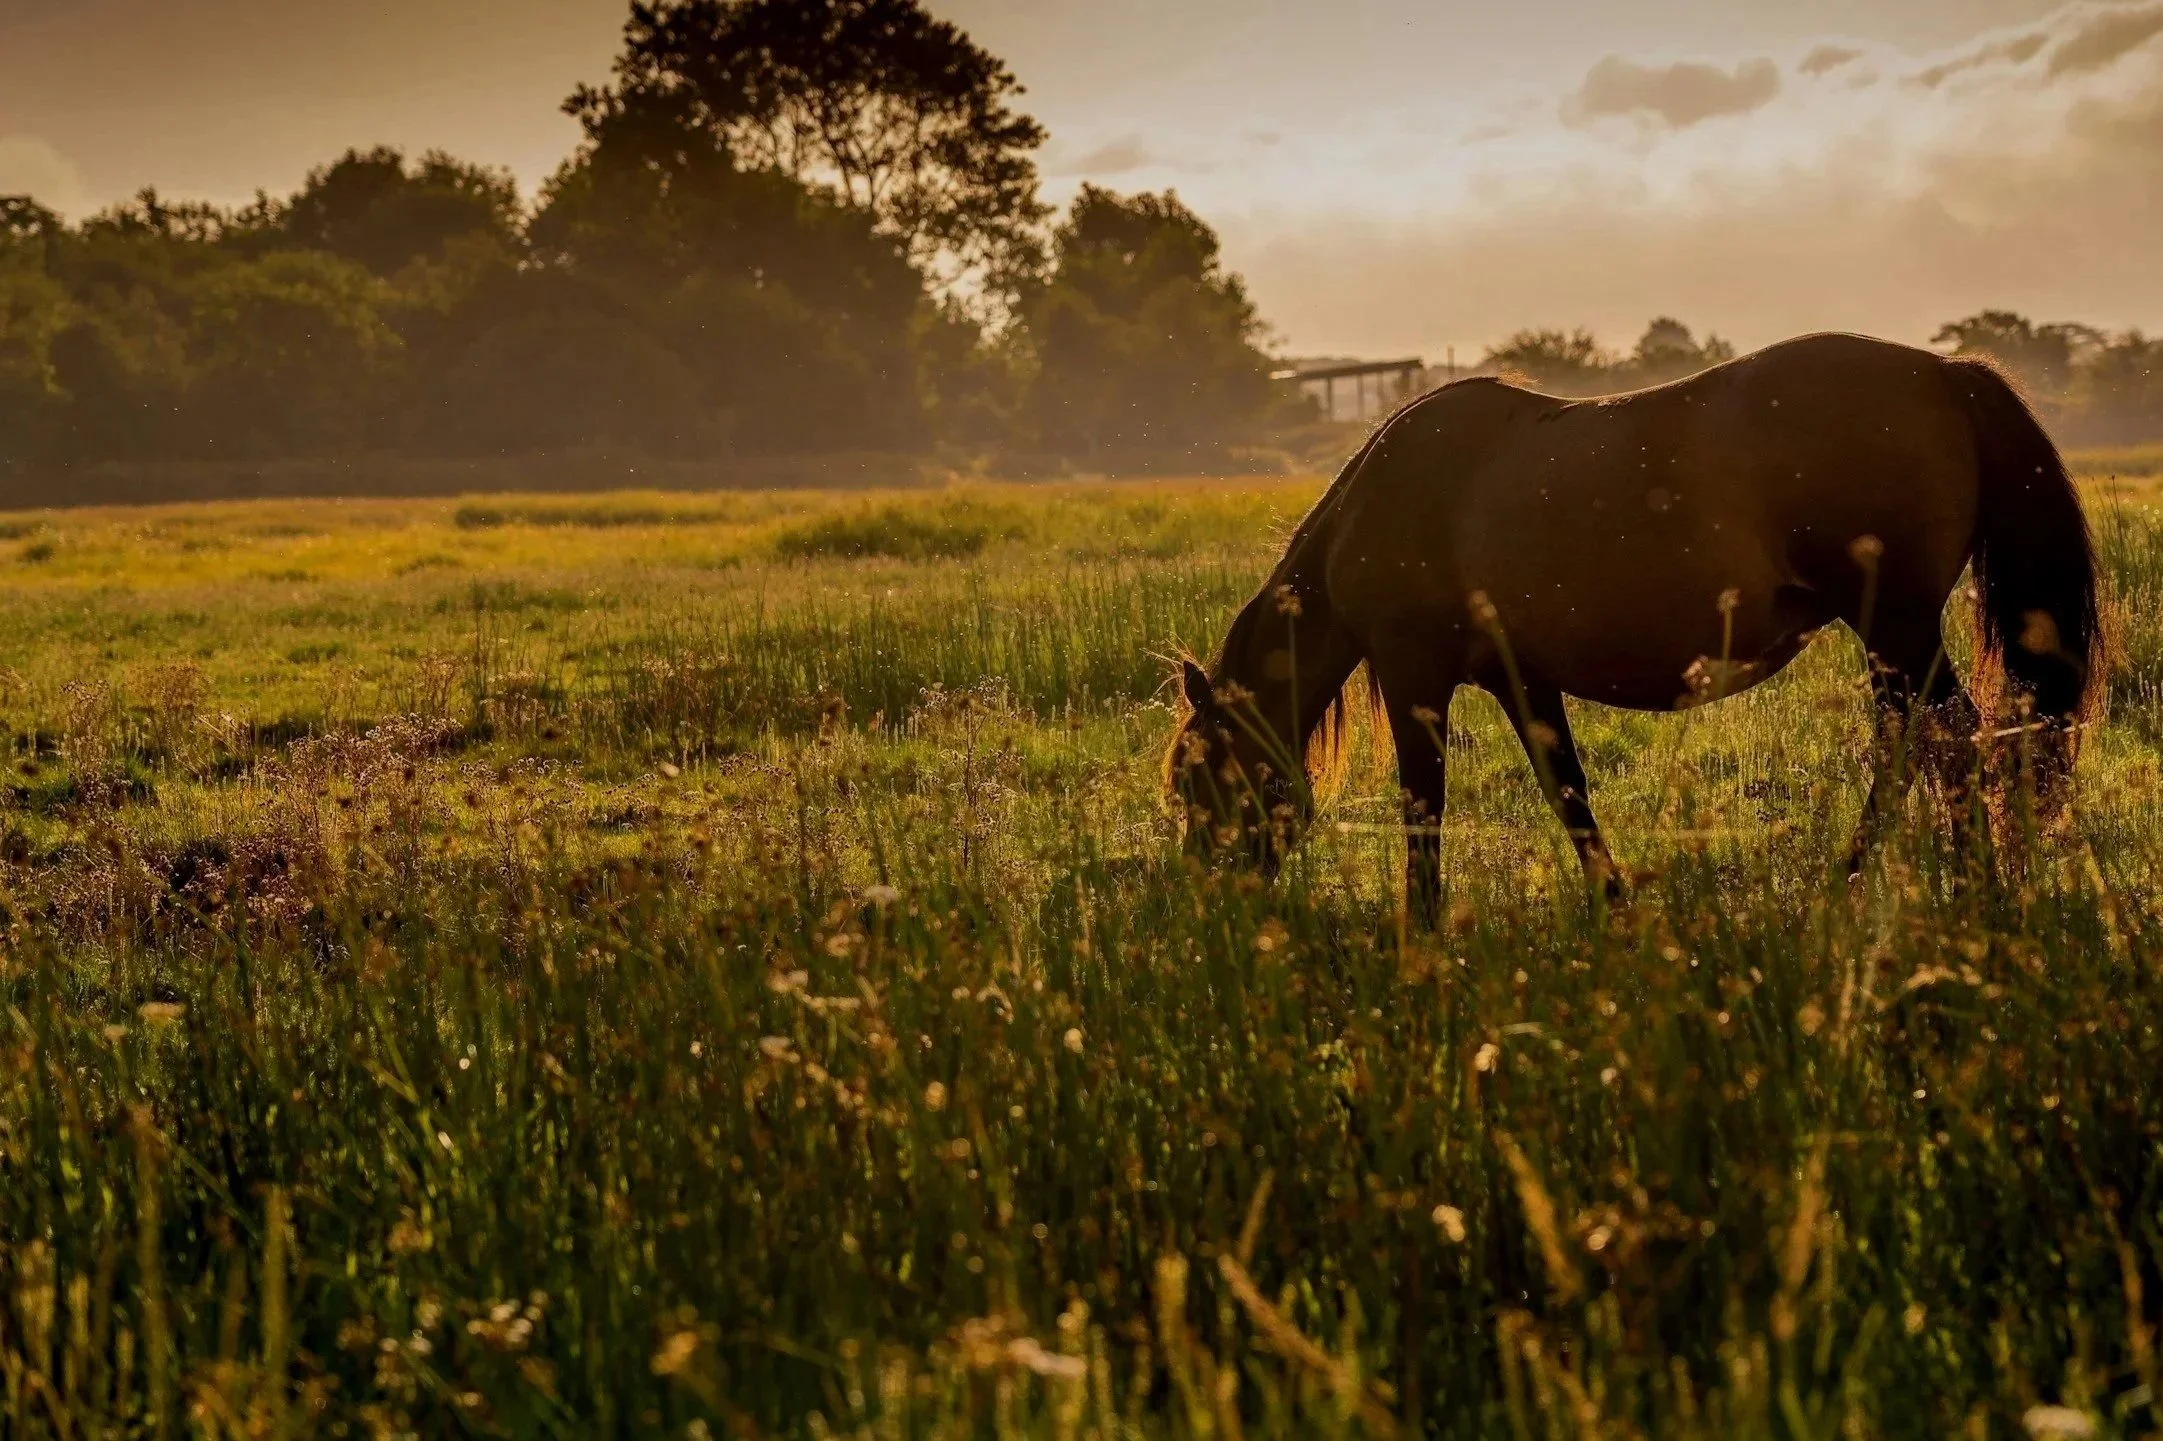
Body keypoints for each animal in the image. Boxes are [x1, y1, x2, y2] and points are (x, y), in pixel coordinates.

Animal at [1166, 332, 2101, 918]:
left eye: (1193, 778)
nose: (1210, 903)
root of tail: (1943, 373)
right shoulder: (1520, 676)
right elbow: (1566, 790)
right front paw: (1614, 904)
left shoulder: (1411, 675)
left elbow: (1422, 806)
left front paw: (1420, 929)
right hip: (1894, 638)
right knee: (1926, 744)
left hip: (1895, 629)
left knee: (1944, 743)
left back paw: (1921, 887)